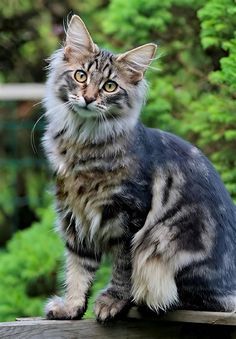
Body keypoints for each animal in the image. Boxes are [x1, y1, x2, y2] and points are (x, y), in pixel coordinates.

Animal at [43, 14, 236, 322]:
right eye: (80, 76)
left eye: (110, 86)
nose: (88, 98)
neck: (84, 142)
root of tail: (230, 287)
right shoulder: (75, 215)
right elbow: (78, 268)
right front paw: (71, 307)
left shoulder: (129, 216)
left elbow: (123, 267)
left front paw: (112, 301)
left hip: (164, 244)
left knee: (196, 300)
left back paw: (140, 302)